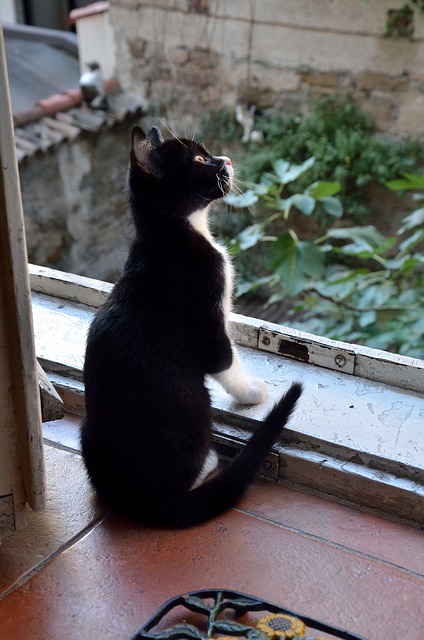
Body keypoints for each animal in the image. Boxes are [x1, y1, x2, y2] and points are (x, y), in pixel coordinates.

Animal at [81, 127, 302, 528]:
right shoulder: (204, 301)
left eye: (209, 153)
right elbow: (223, 358)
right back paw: (210, 461)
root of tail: (132, 495)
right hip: (194, 406)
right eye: (199, 161)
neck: (172, 234)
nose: (226, 159)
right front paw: (251, 392)